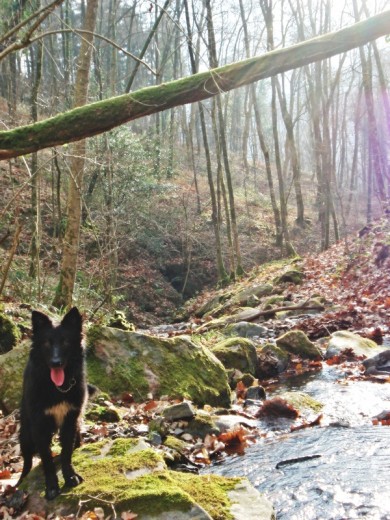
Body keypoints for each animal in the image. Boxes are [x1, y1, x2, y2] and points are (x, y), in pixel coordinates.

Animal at [17, 308, 87, 500]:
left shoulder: (70, 421)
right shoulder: (39, 426)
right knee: (27, 462)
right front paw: (52, 487)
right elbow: (46, 459)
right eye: (47, 343)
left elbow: (66, 453)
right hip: (26, 434)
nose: (56, 363)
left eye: (66, 342)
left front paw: (70, 476)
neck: (57, 388)